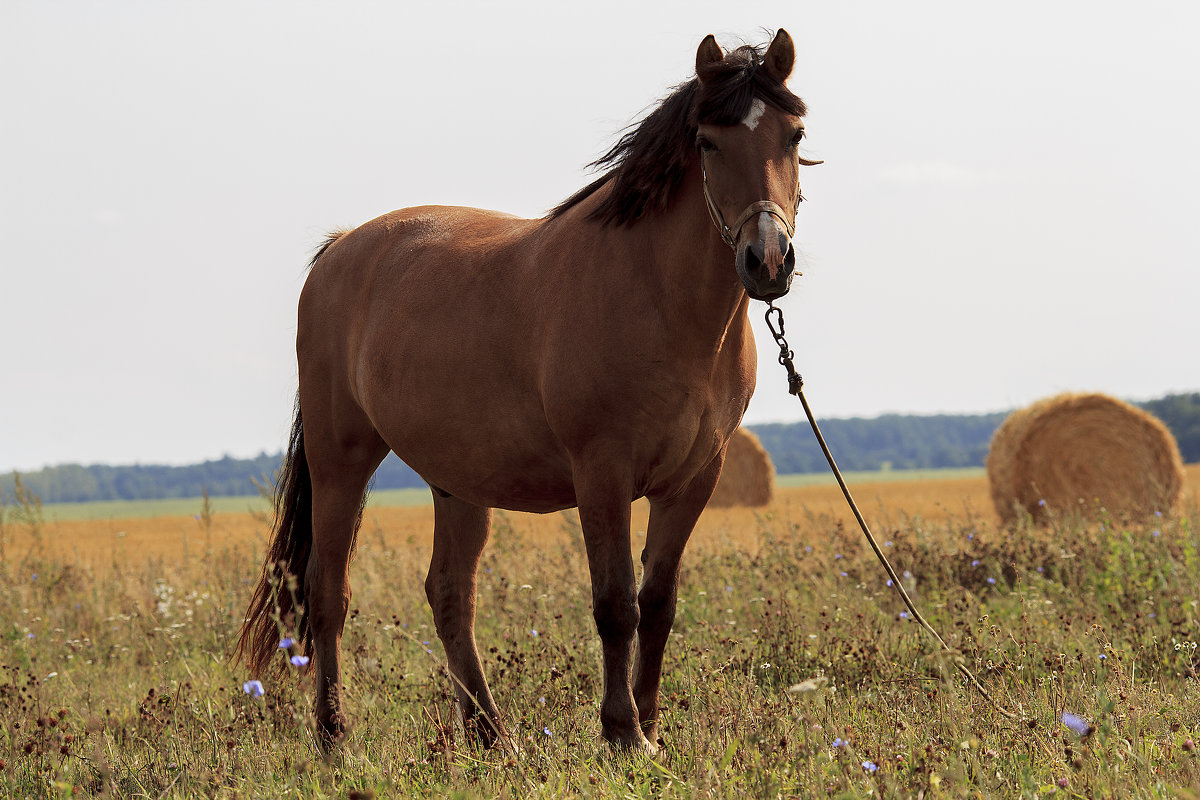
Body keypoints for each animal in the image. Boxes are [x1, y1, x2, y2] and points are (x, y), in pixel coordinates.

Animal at [232, 29, 816, 758]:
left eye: (794, 135)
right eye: (708, 142)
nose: (768, 260)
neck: (657, 297)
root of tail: (339, 251)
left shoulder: (694, 480)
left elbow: (658, 604)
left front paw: (651, 728)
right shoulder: (602, 473)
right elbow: (615, 603)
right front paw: (622, 732)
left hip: (457, 482)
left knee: (450, 596)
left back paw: (491, 735)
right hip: (342, 459)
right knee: (326, 591)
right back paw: (335, 736)